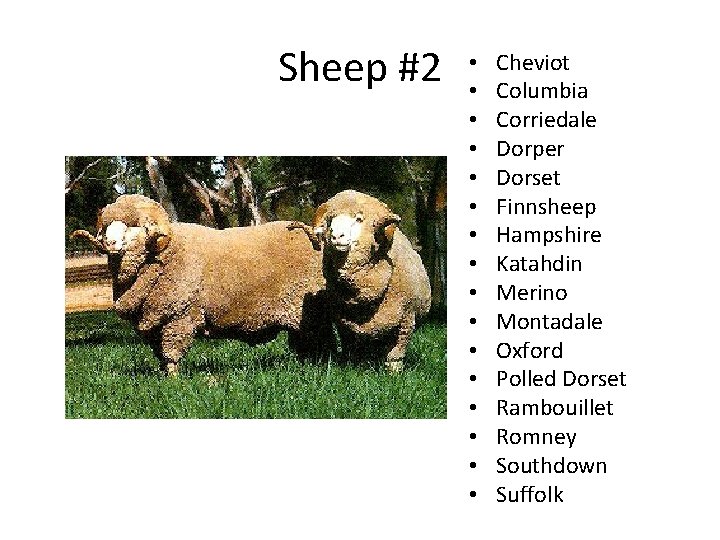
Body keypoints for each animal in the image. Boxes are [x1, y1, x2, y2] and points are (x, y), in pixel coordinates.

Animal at [70, 194, 333, 375]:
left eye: (136, 226)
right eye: (107, 226)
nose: (111, 243)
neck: (163, 255)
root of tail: (315, 238)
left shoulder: (179, 317)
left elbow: (171, 353)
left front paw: (174, 383)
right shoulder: (156, 323)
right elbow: (161, 355)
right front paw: (163, 378)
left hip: (309, 310)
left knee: (320, 339)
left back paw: (320, 366)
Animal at [290, 190, 431, 372]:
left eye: (358, 219)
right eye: (329, 220)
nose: (336, 236)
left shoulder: (406, 319)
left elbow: (395, 355)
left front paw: (393, 374)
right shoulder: (344, 323)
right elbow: (351, 349)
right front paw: (351, 368)